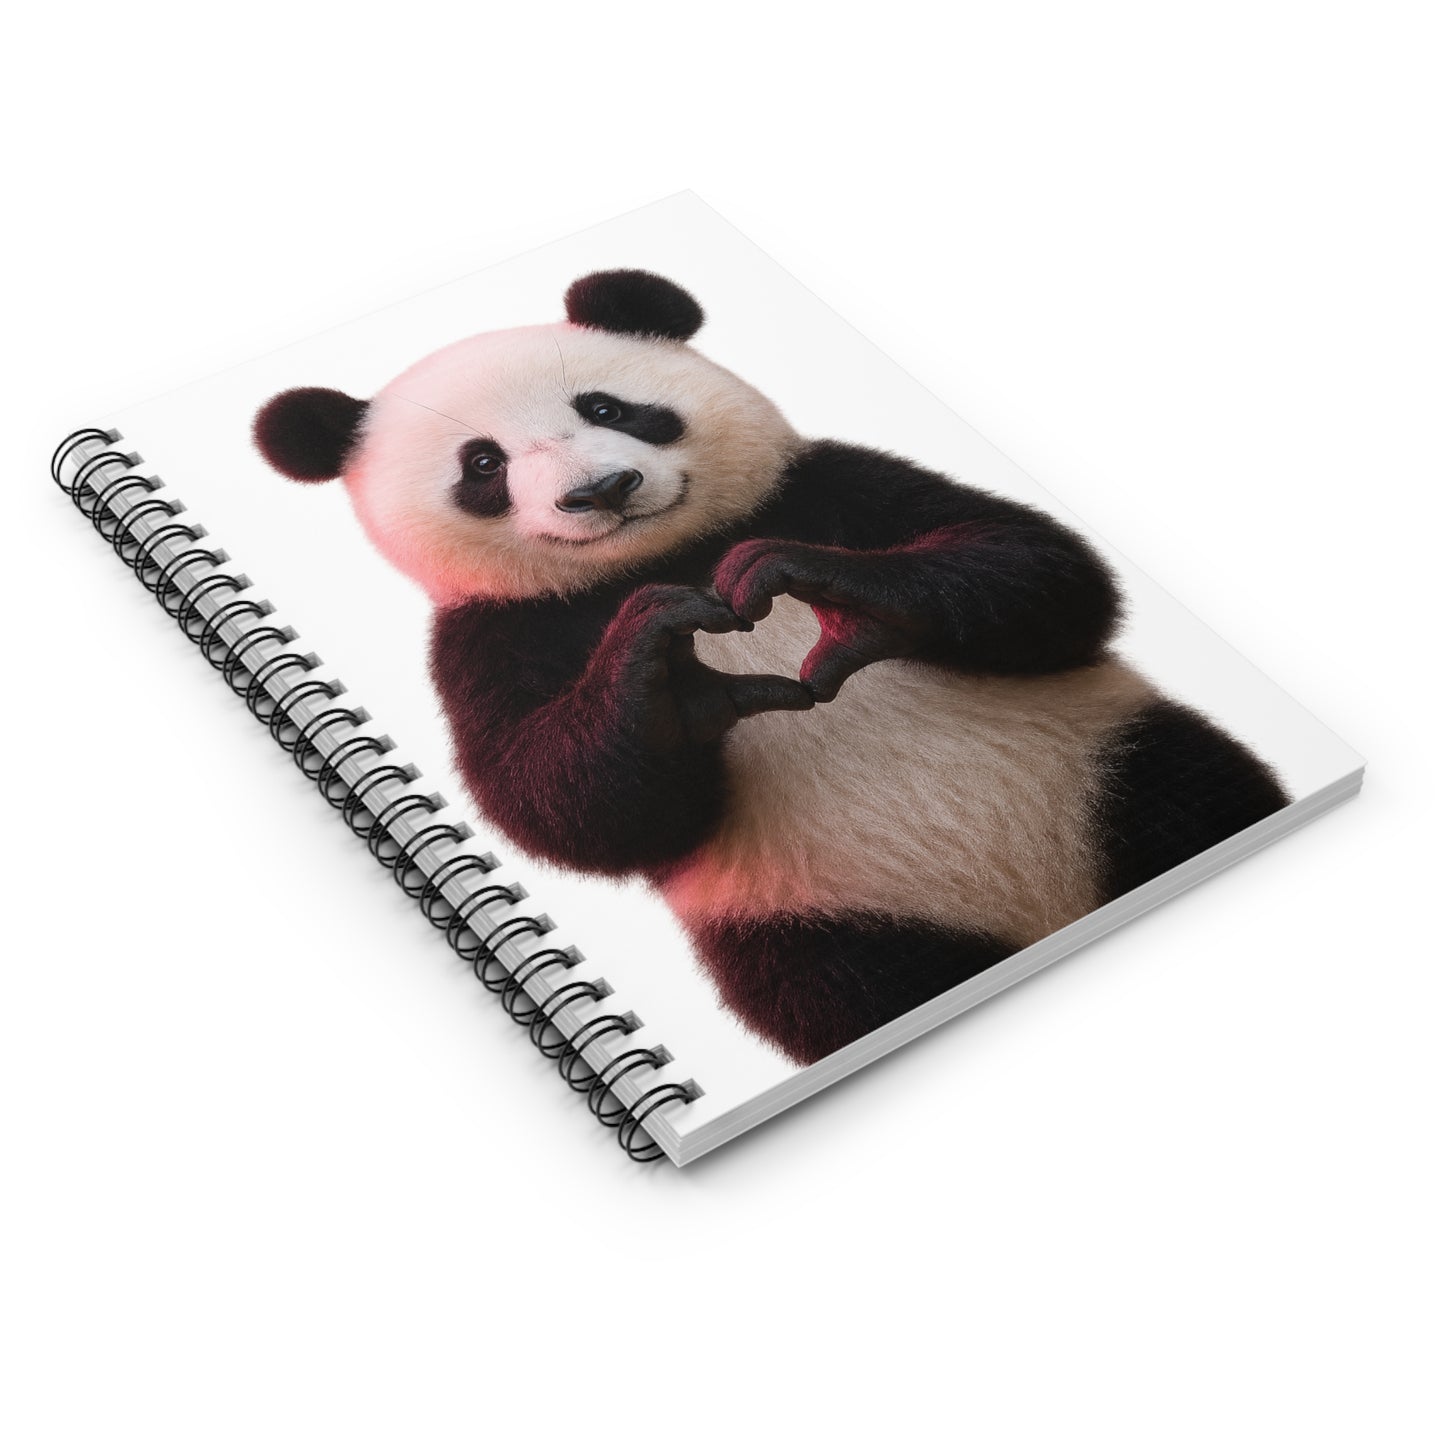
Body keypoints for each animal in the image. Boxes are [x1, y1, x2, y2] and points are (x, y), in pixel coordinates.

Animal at [253, 269, 1288, 1067]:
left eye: (608, 407)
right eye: (481, 465)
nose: (601, 489)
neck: (665, 553)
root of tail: (1049, 915)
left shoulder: (827, 484)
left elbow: (1037, 569)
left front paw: (835, 592)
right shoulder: (494, 637)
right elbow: (566, 805)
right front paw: (671, 672)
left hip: (1108, 766)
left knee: (1190, 795)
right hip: (812, 924)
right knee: (854, 990)